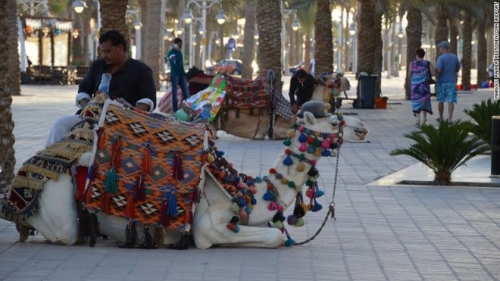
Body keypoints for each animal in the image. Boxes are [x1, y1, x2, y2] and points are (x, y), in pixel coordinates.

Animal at [1, 95, 358, 248]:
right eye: (334, 121)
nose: (362, 128)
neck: (245, 191)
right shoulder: (207, 229)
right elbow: (273, 236)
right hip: (56, 192)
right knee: (59, 229)